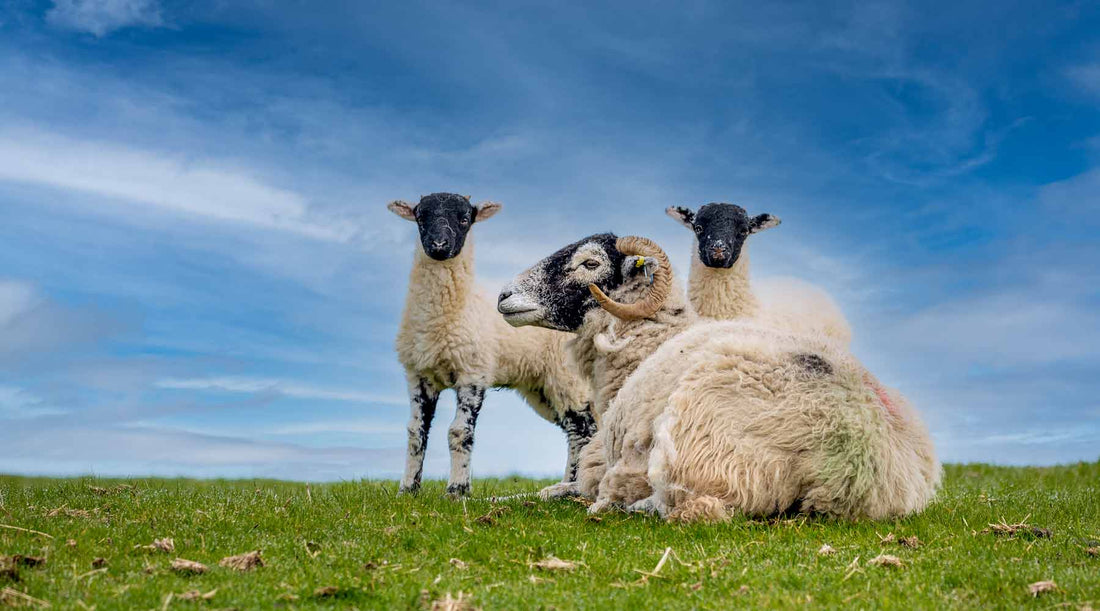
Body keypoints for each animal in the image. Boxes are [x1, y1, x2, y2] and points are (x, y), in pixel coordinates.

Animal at [387, 193, 594, 499]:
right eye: (420, 216)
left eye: (464, 218)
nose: (439, 246)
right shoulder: (418, 375)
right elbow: (415, 431)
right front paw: (407, 490)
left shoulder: (473, 372)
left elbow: (459, 432)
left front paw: (457, 490)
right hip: (542, 388)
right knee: (574, 432)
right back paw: (566, 484)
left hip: (567, 378)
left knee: (584, 430)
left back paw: (574, 487)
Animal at [499, 234, 937, 521]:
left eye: (590, 264)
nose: (503, 295)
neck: (646, 345)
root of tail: (852, 455)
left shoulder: (598, 461)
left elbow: (565, 486)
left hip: (701, 455)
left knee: (692, 507)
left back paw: (633, 506)